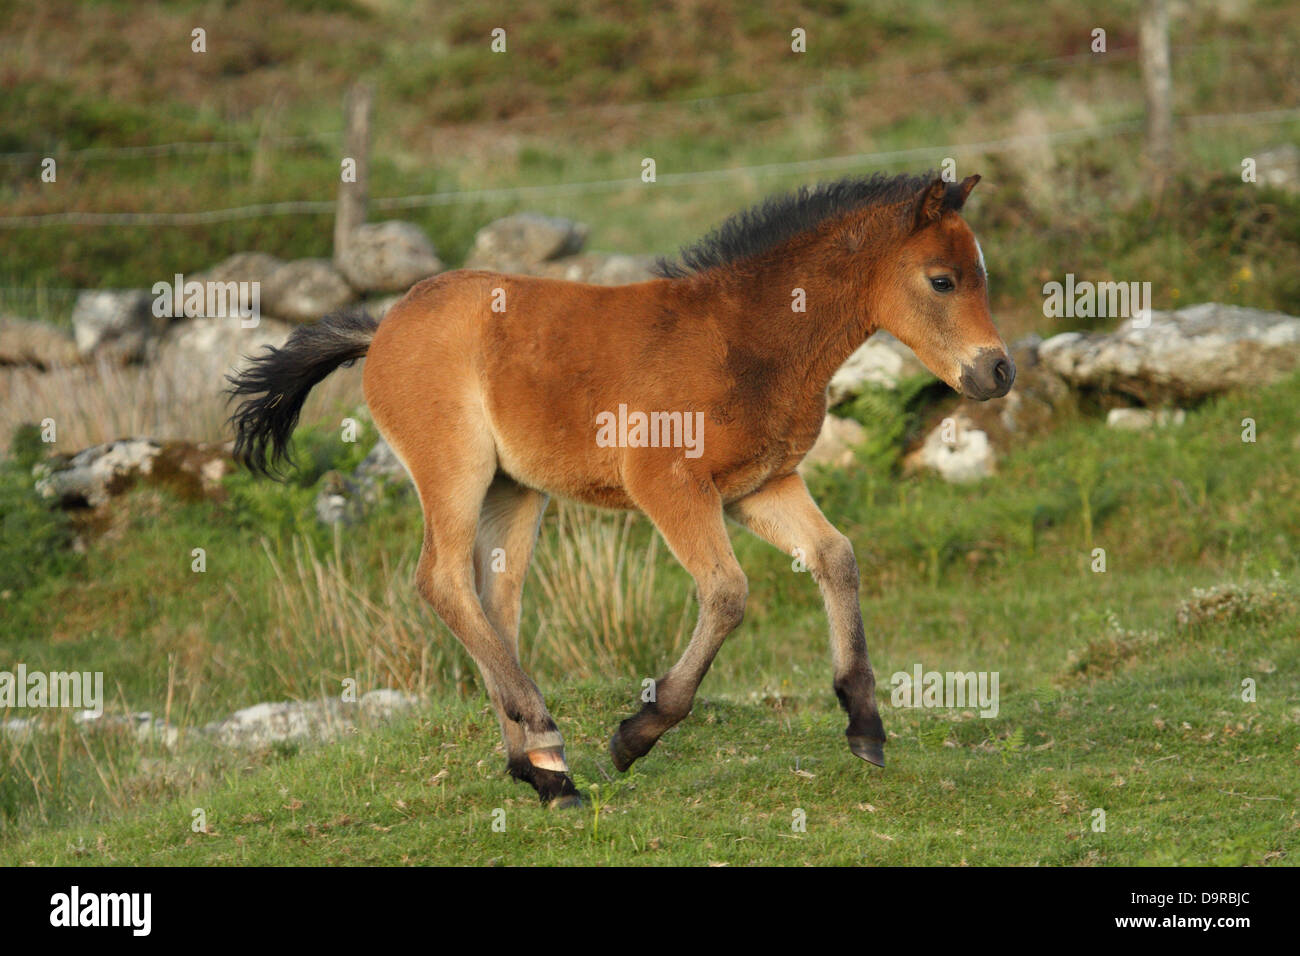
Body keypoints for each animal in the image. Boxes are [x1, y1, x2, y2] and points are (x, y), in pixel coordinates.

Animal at [226, 170, 1015, 808]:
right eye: (942, 280)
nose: (998, 372)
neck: (745, 337)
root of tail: (383, 325)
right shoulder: (668, 482)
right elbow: (727, 593)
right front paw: (637, 734)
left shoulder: (761, 486)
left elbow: (836, 558)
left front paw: (865, 725)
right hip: (453, 467)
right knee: (442, 580)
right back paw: (546, 735)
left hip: (515, 488)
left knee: (494, 599)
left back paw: (544, 773)